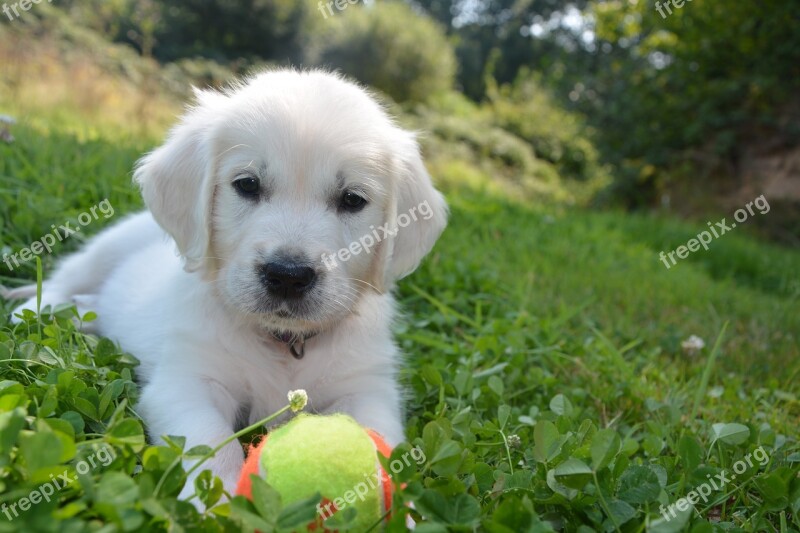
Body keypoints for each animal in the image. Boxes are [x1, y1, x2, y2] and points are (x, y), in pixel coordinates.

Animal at [4, 68, 444, 496]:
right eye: (247, 184)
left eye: (352, 199)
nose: (287, 275)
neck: (284, 343)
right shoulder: (189, 379)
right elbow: (211, 442)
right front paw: (219, 499)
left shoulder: (366, 388)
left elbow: (378, 441)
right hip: (107, 247)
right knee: (63, 281)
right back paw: (31, 310)